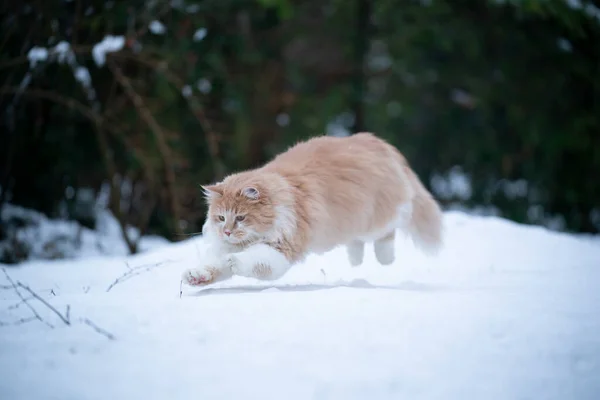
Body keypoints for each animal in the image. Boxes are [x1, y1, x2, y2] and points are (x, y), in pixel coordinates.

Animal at [180, 133, 442, 286]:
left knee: (388, 232)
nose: (226, 232)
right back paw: (355, 259)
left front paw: (235, 260)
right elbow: (213, 267)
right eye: (221, 217)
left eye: (241, 218)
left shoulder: (282, 248)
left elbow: (252, 260)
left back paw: (385, 258)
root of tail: (379, 142)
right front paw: (197, 276)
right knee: (357, 240)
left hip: (377, 217)